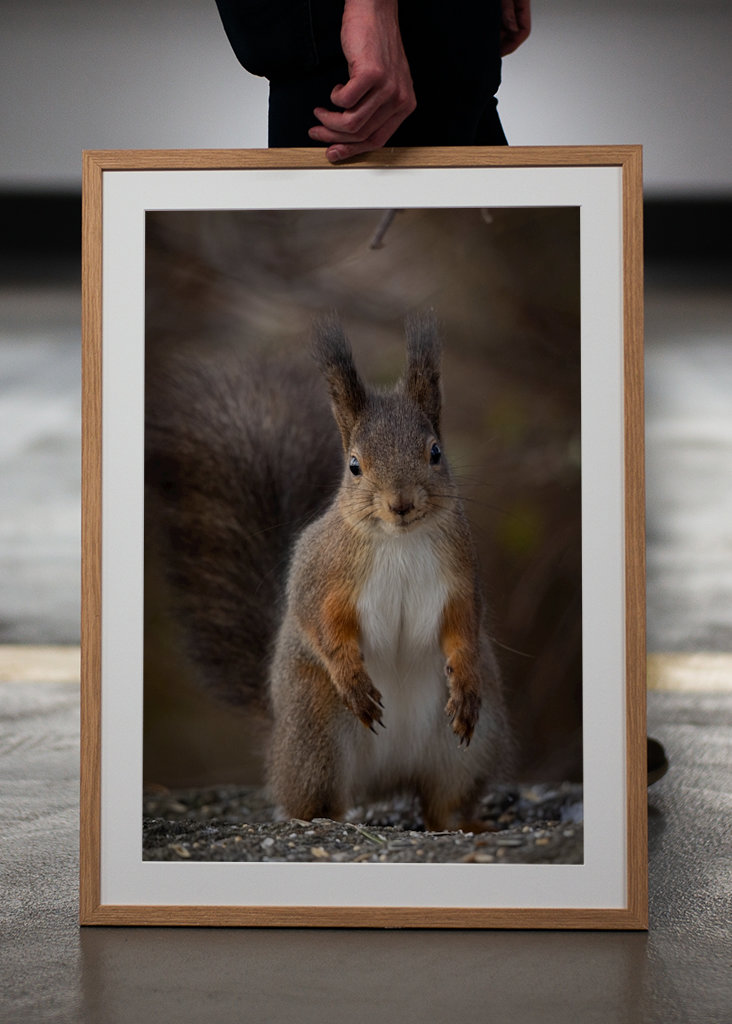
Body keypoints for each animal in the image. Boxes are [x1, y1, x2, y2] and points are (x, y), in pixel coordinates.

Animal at [146, 313, 513, 830]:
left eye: (436, 452)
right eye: (354, 465)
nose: (401, 503)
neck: (398, 541)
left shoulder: (461, 577)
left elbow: (464, 626)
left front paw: (464, 682)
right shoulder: (322, 576)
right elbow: (321, 624)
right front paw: (352, 678)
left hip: (472, 748)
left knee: (445, 801)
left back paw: (465, 823)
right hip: (316, 733)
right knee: (314, 800)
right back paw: (327, 818)